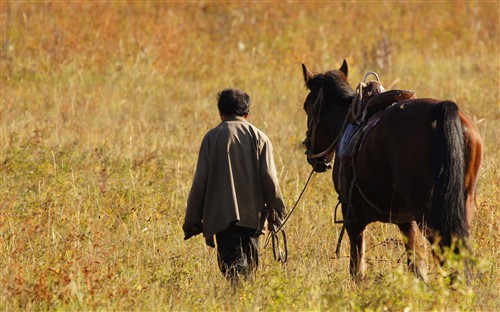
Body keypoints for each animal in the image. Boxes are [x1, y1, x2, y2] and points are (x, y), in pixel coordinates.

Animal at [298, 59, 482, 280]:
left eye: (307, 107)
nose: (313, 156)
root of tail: (441, 110)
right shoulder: (407, 221)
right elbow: (417, 266)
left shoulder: (352, 217)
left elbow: (357, 269)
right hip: (462, 207)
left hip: (429, 214)